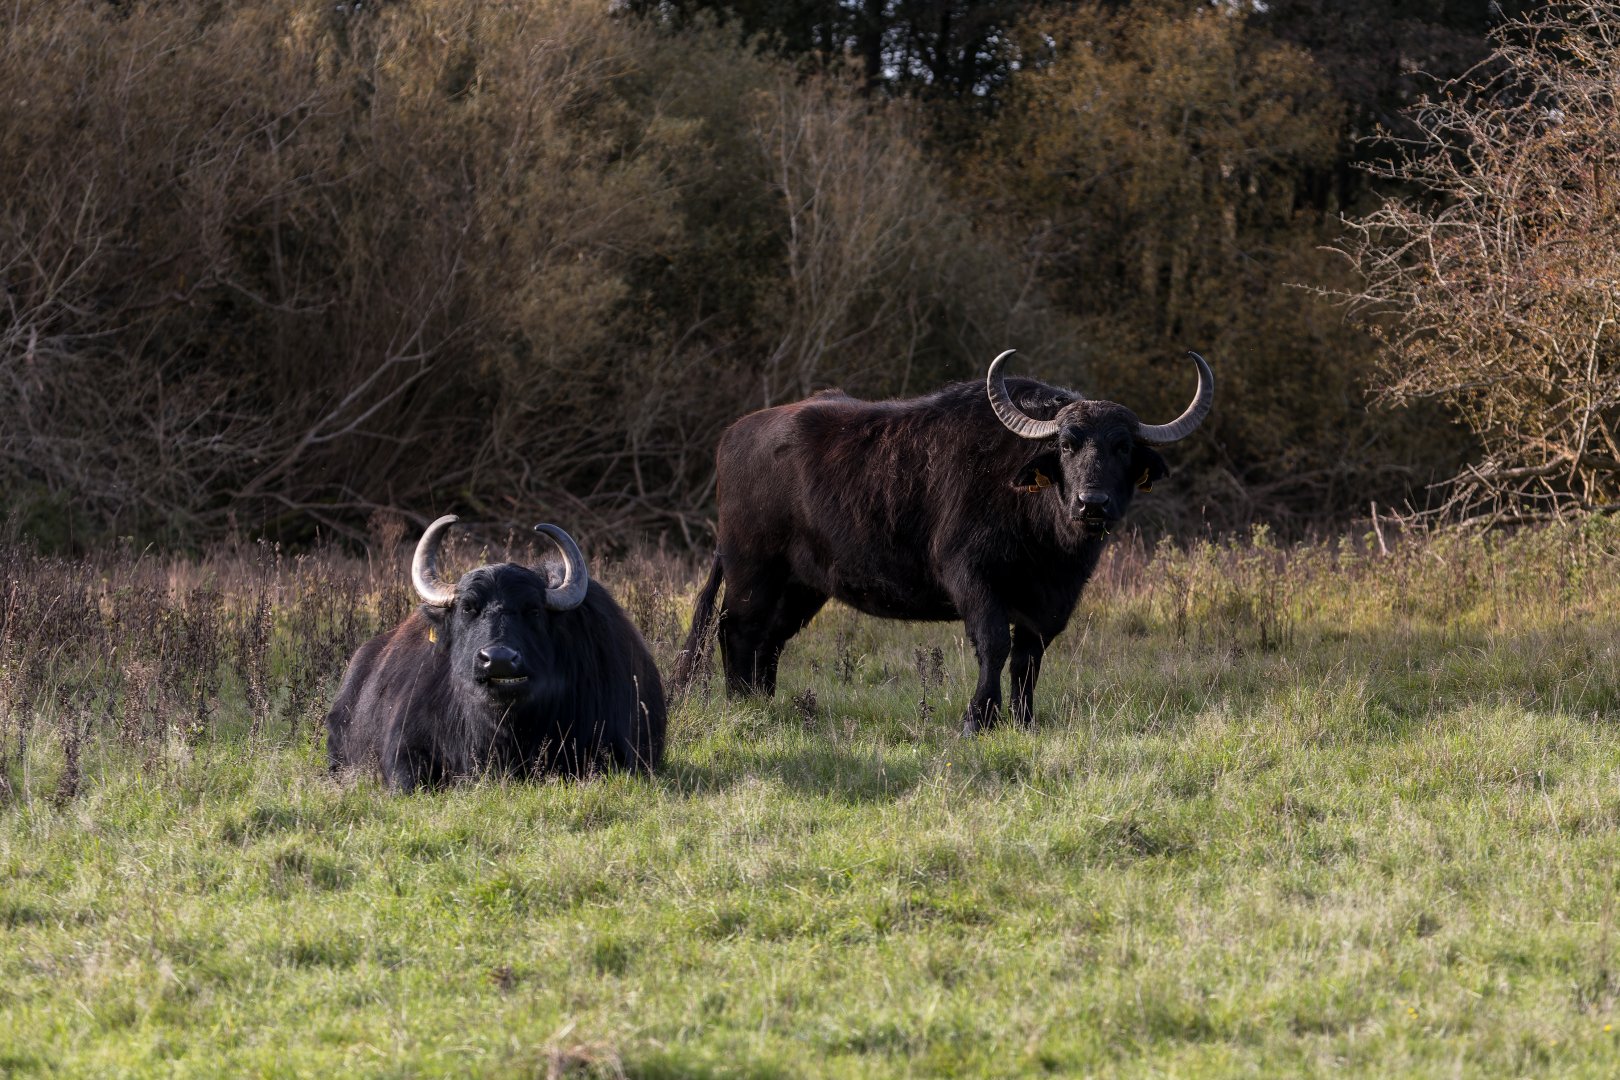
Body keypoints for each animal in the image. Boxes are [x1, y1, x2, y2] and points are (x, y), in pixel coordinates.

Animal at [675, 350, 1213, 733]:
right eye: (1066, 444)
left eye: (1122, 447)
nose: (1092, 503)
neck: (1041, 534)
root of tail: (734, 435)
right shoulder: (971, 577)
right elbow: (994, 643)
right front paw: (978, 717)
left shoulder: (1051, 601)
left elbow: (1029, 657)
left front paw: (1024, 720)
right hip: (752, 570)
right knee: (737, 630)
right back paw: (740, 704)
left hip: (802, 586)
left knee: (771, 639)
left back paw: (764, 701)